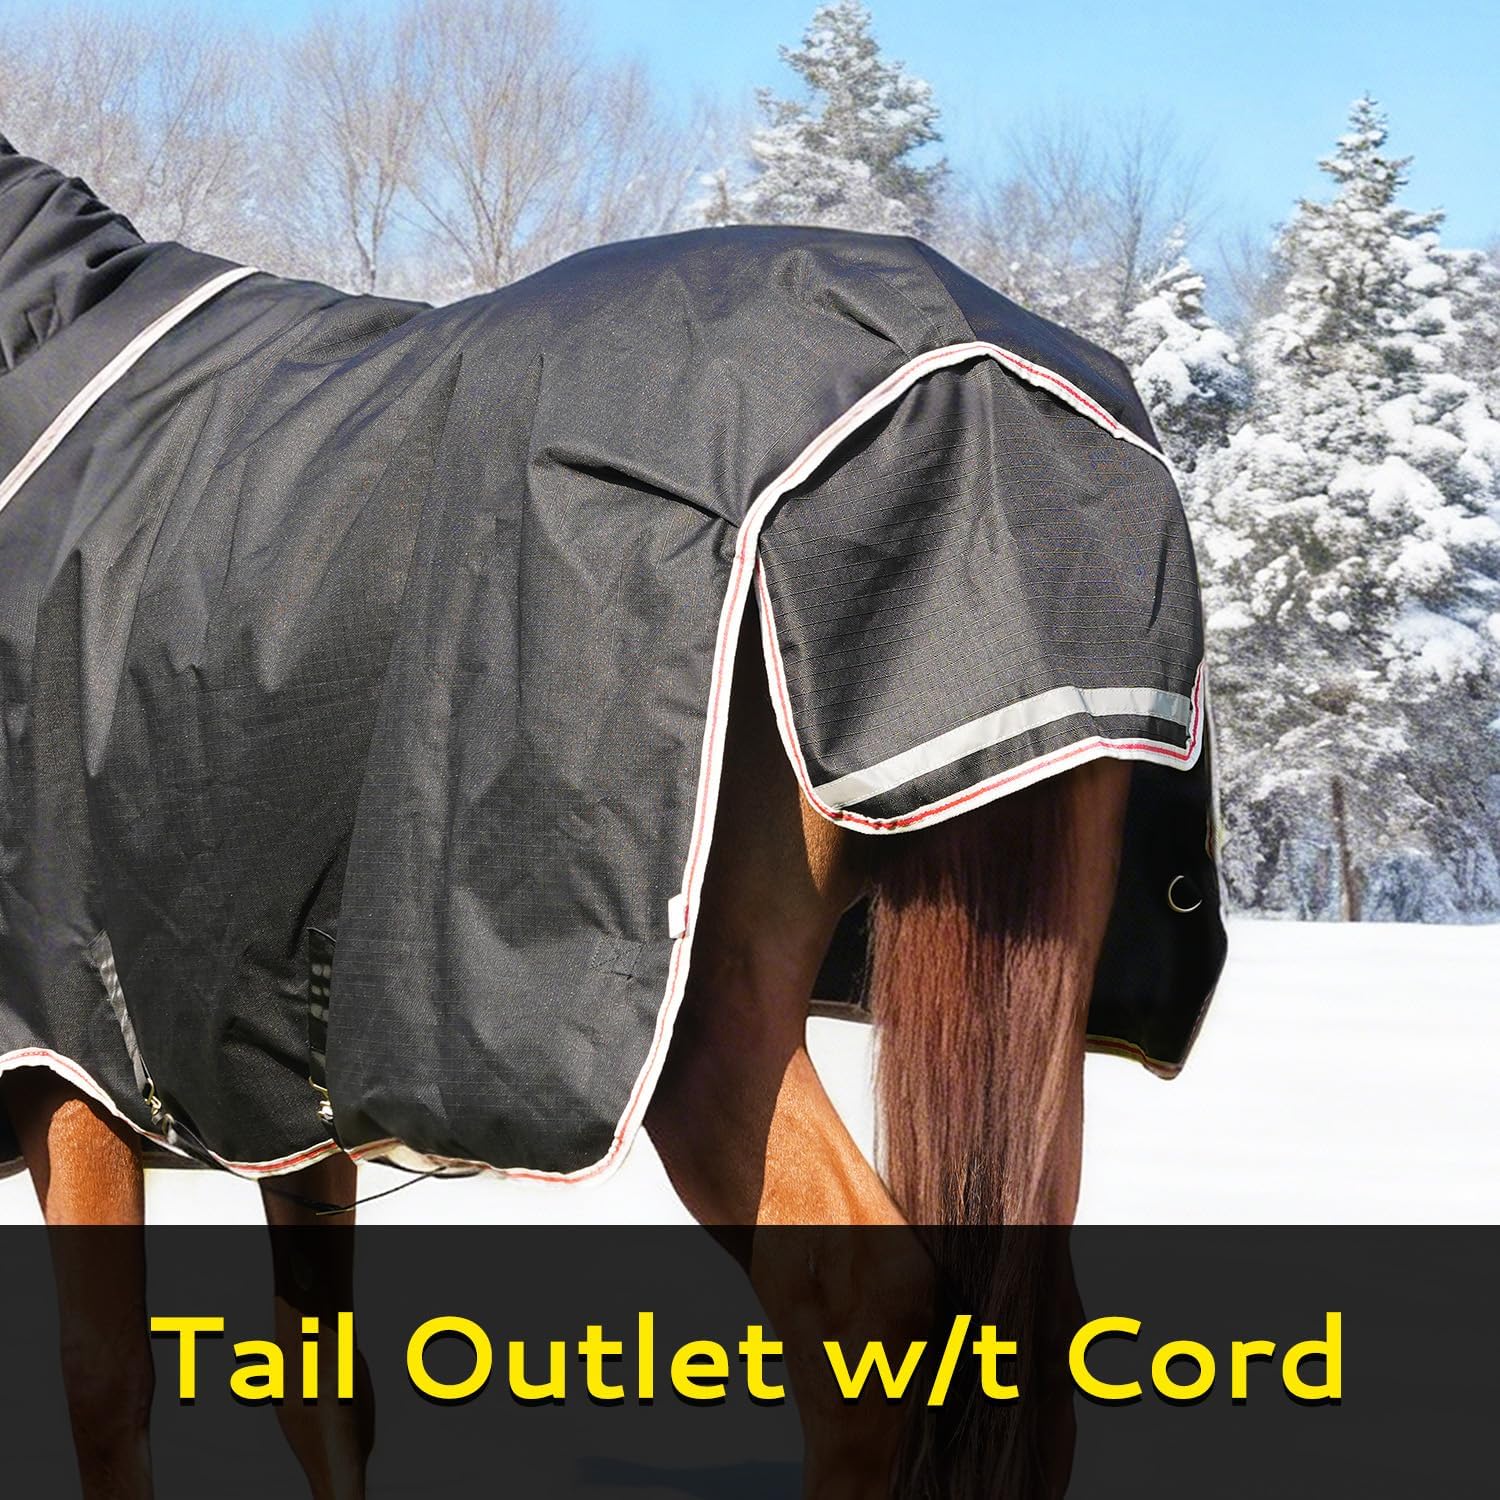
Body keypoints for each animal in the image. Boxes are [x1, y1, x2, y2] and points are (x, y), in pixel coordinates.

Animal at [0, 133, 1225, 1496]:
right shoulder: (275, 1102)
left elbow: (107, 1391)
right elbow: (320, 1396)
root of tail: (976, 379)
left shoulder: (64, 1060)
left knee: (862, 1304)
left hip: (713, 1026)